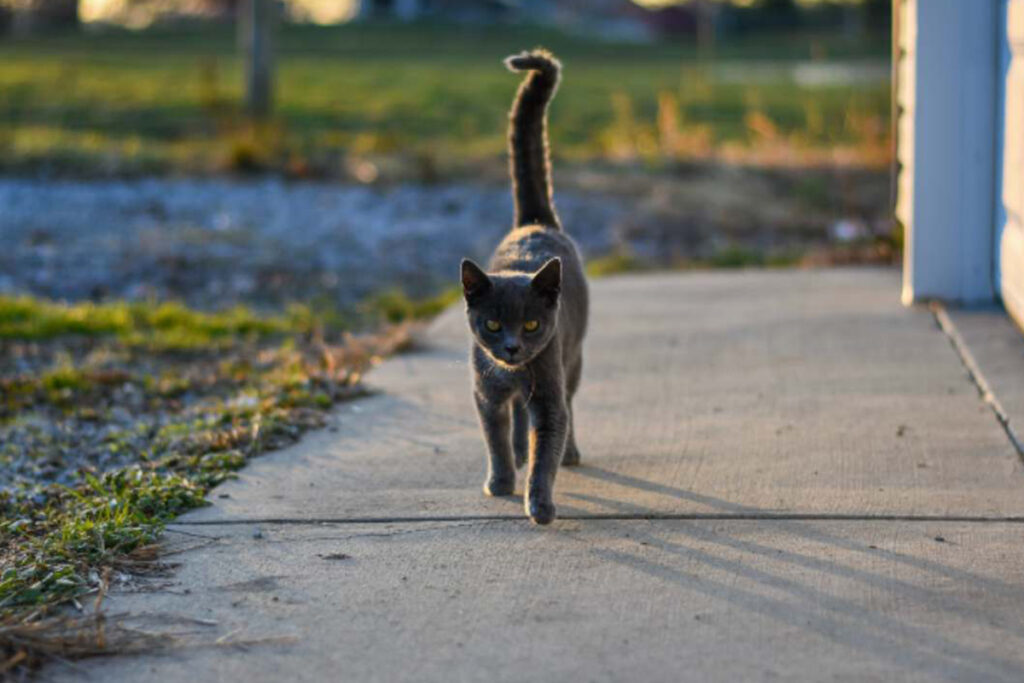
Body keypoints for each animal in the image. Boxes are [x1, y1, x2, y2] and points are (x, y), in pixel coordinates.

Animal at [460, 50, 589, 528]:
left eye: (532, 324)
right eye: (493, 324)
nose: (514, 347)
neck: (512, 372)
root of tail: (535, 222)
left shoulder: (549, 395)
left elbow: (546, 450)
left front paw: (541, 504)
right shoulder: (485, 392)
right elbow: (494, 438)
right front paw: (500, 481)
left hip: (572, 356)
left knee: (570, 404)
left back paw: (570, 452)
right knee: (517, 417)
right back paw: (517, 451)